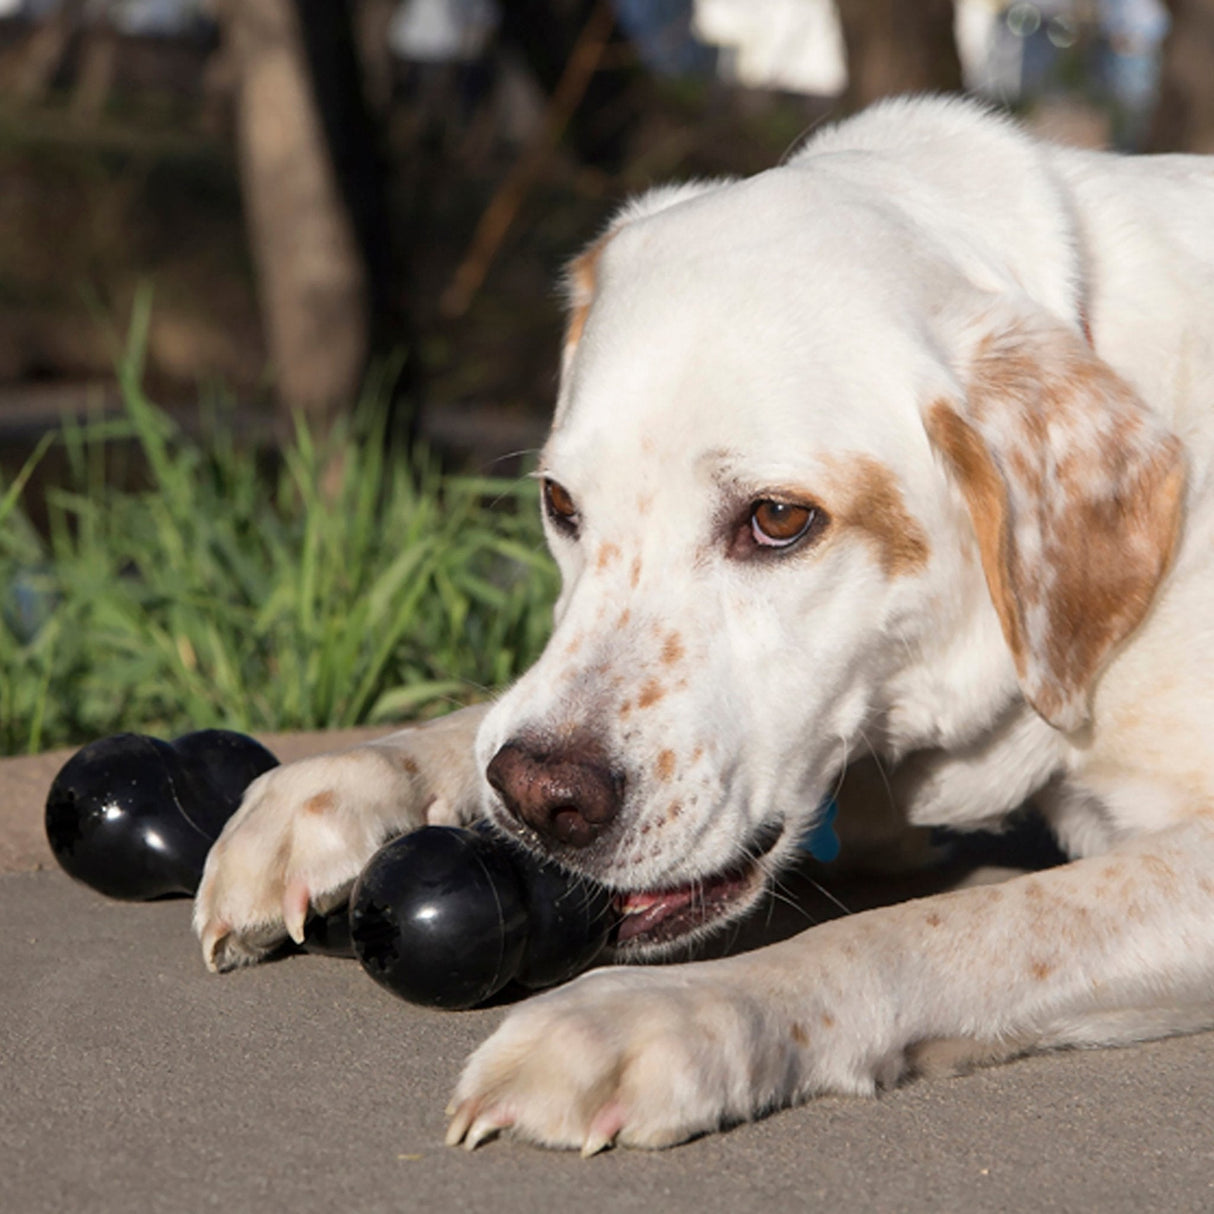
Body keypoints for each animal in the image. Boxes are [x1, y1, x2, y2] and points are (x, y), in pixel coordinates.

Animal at [191, 99, 1214, 1150]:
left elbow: (950, 924)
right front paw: (343, 782)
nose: (541, 800)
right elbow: (475, 724)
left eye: (780, 518)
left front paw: (666, 1014)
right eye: (560, 502)